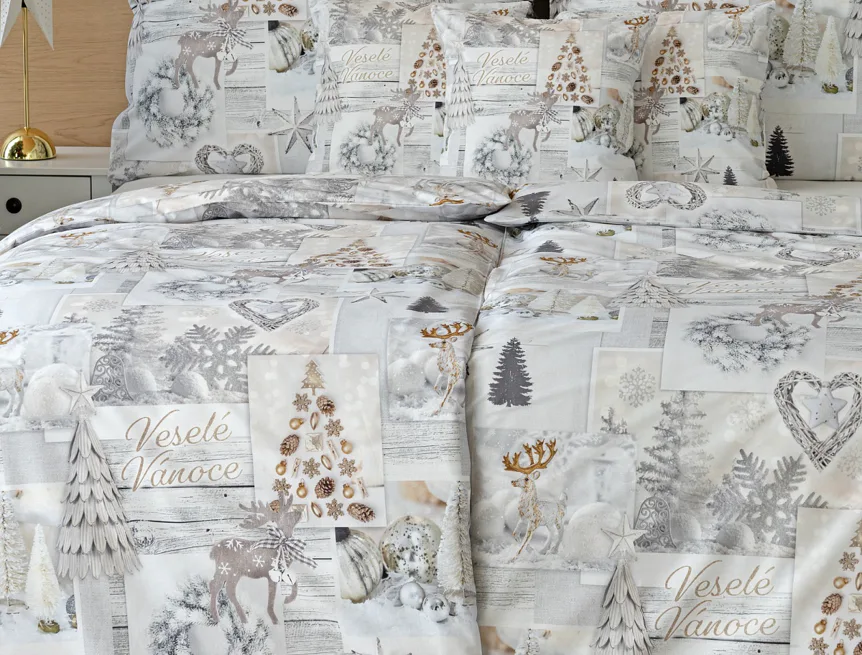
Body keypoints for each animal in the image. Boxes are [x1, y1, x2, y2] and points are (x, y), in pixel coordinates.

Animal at [209, 492, 315, 625]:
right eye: (286, 516)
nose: (298, 512)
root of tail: (213, 551)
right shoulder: (270, 574)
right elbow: (271, 597)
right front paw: (274, 619)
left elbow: (294, 583)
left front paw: (287, 599)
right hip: (227, 569)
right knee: (217, 586)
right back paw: (220, 617)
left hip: (232, 572)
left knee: (224, 588)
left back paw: (241, 618)